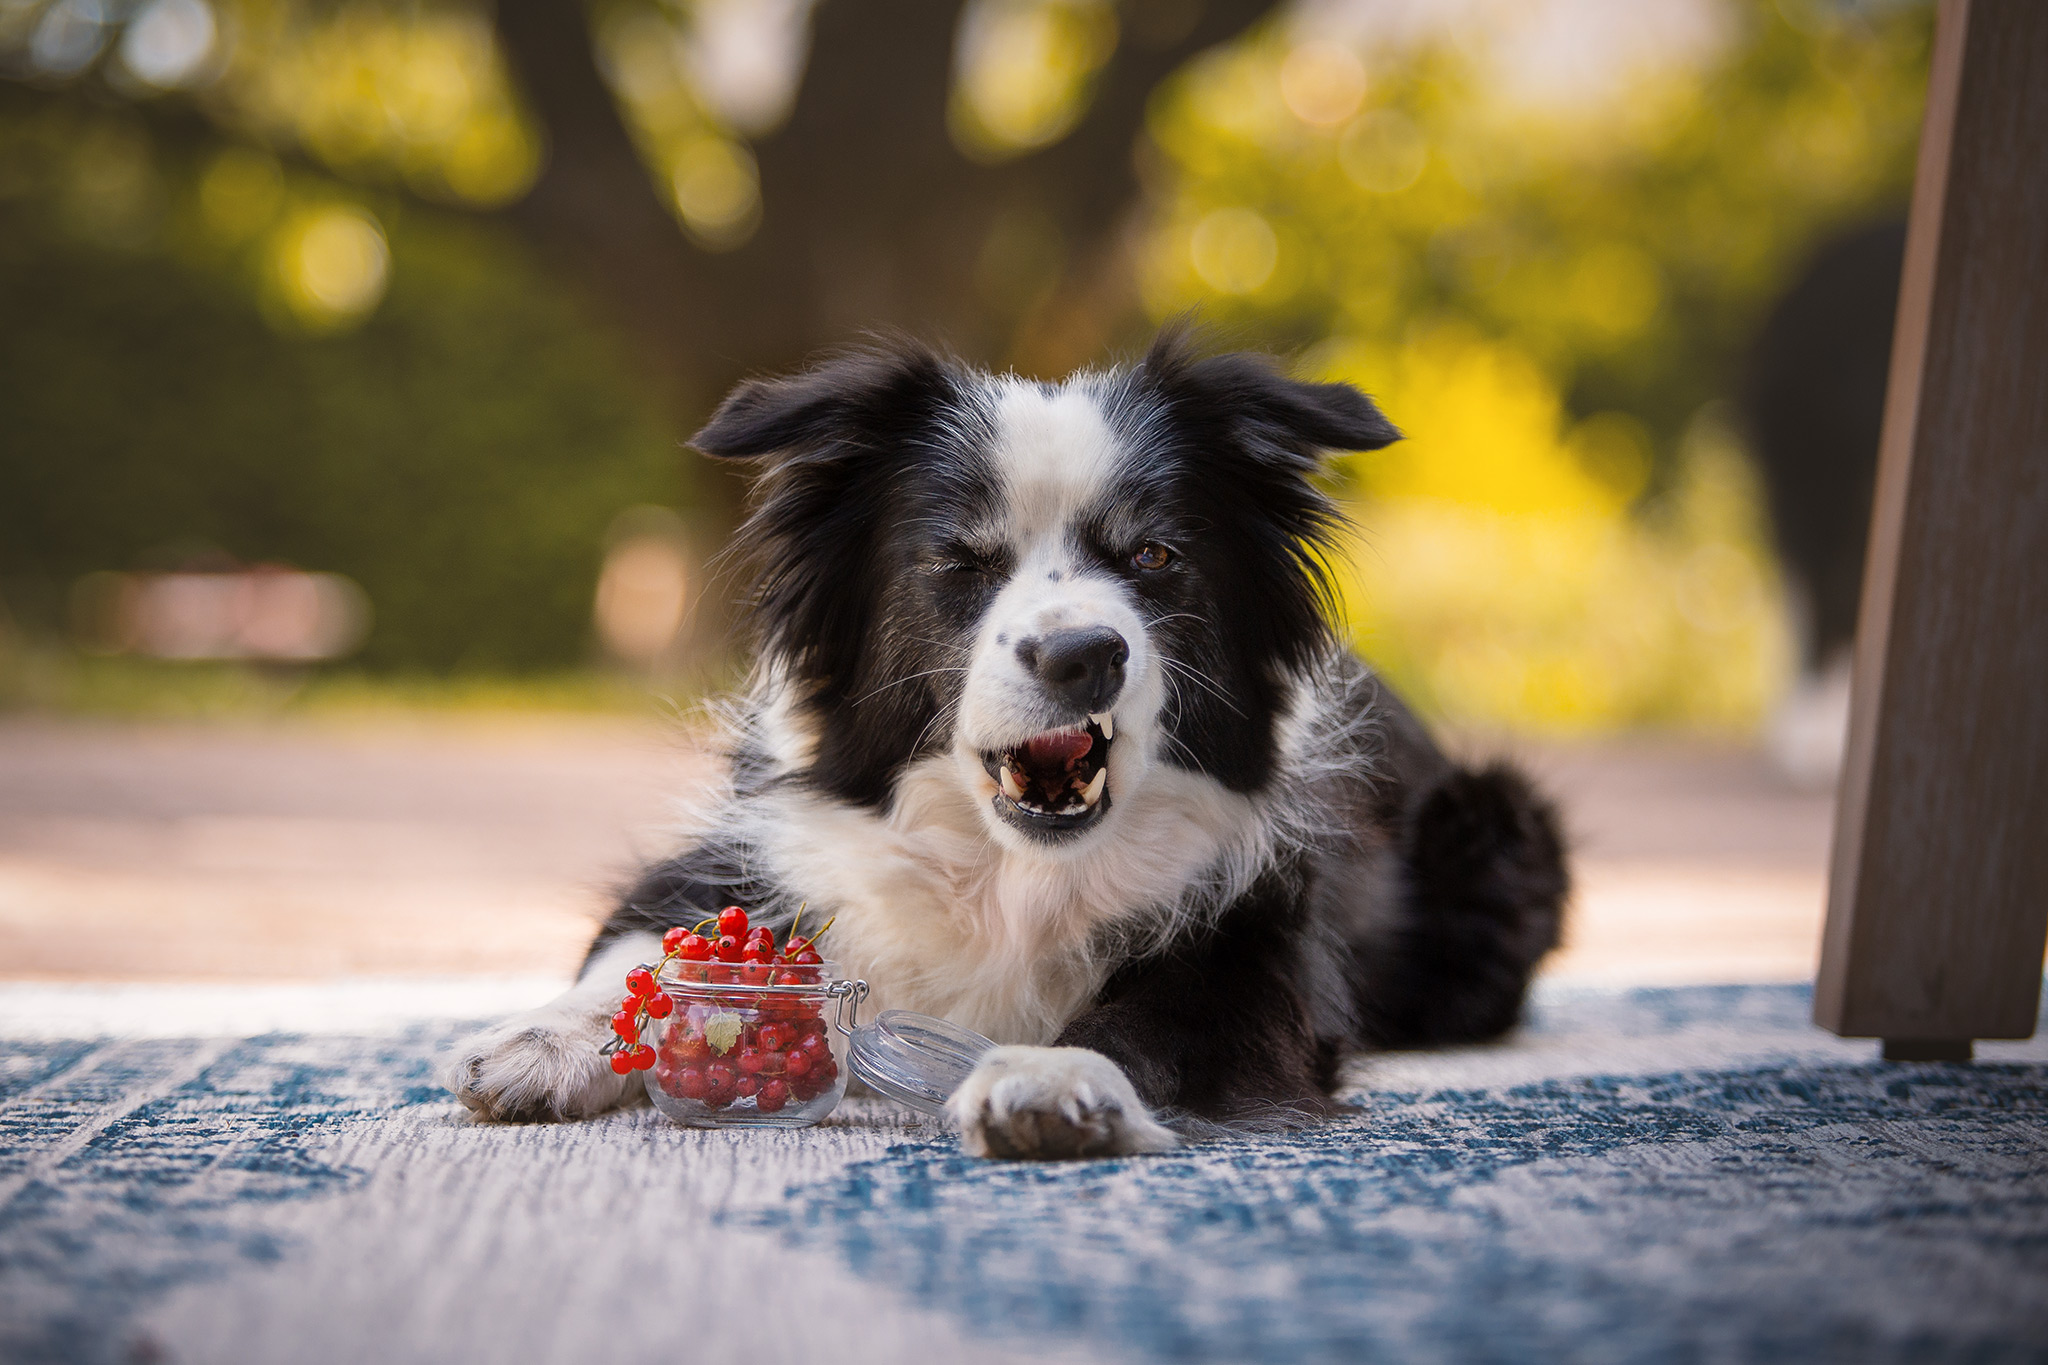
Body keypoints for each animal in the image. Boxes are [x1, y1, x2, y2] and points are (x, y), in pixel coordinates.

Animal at [444, 331, 1564, 1154]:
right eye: (958, 559)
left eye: (1155, 555)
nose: (1081, 654)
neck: (1008, 869)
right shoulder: (733, 851)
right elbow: (643, 942)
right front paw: (535, 1044)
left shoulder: (1265, 949)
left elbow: (1148, 1023)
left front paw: (1048, 1076)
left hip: (1496, 827)